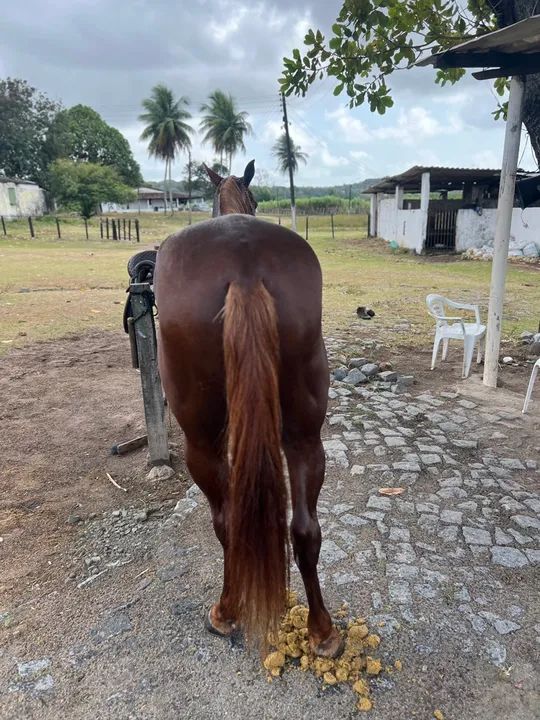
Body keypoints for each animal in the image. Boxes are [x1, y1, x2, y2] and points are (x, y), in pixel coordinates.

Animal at [154, 160, 342, 658]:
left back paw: (226, 611)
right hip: (305, 433)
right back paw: (323, 631)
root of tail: (243, 267)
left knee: (226, 522)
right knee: (305, 529)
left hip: (200, 442)